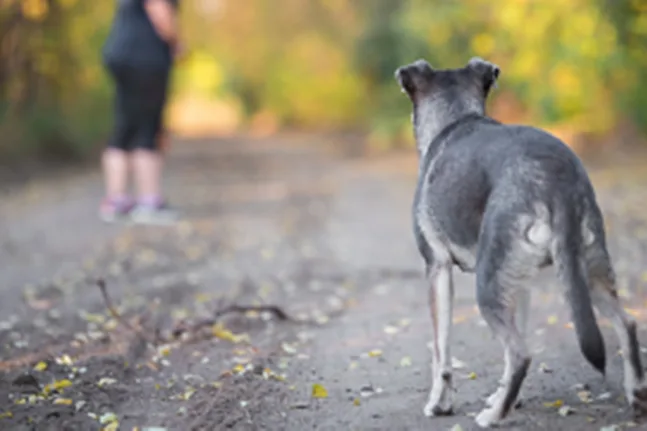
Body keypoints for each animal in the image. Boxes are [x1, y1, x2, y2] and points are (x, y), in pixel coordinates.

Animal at [394, 58, 647, 428]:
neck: (455, 117)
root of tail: (556, 178)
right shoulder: (519, 280)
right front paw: (509, 397)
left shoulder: (437, 268)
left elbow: (441, 352)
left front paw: (441, 404)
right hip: (587, 268)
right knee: (626, 323)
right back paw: (636, 394)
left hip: (488, 286)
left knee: (521, 352)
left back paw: (493, 416)